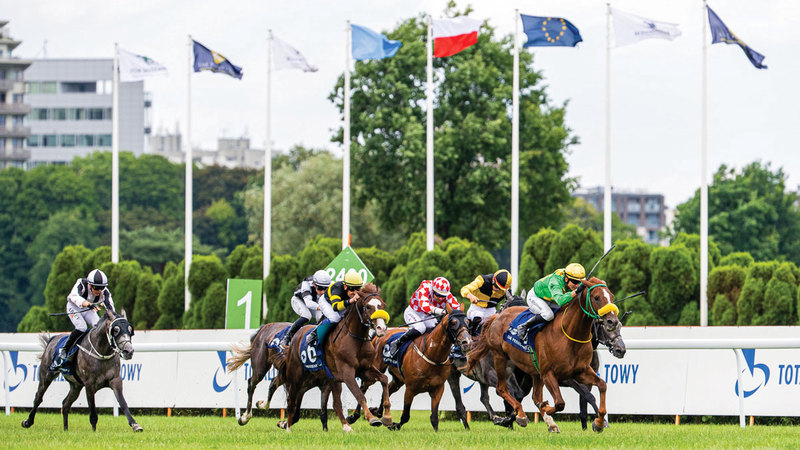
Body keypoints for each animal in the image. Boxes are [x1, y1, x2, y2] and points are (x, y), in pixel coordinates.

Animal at [270, 284, 392, 434]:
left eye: (382, 305)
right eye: (368, 307)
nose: (381, 328)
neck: (355, 338)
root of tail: (294, 339)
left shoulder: (365, 369)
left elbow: (384, 379)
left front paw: (387, 416)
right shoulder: (347, 373)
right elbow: (359, 394)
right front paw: (372, 418)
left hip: (327, 379)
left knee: (335, 404)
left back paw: (346, 426)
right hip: (296, 376)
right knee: (291, 400)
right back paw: (287, 427)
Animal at [462, 276, 624, 434]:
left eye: (611, 296)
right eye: (596, 297)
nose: (612, 321)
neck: (569, 335)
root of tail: (497, 317)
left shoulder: (580, 371)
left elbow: (601, 385)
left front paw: (599, 423)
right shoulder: (551, 374)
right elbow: (560, 403)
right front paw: (544, 407)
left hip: (533, 371)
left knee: (530, 396)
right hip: (500, 358)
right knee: (502, 389)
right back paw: (519, 416)